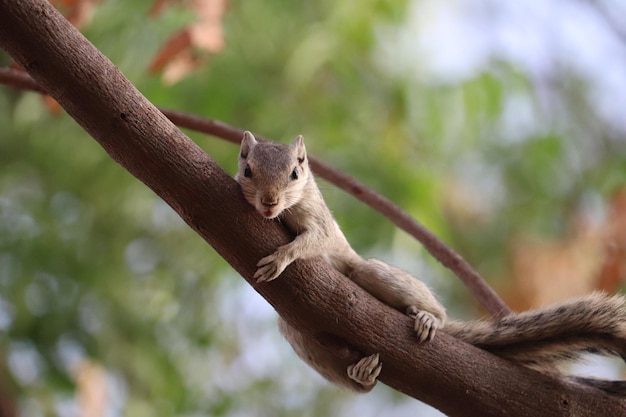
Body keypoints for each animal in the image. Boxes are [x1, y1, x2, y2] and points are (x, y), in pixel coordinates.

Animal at [233, 131, 624, 394]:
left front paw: (282, 257)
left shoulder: (321, 225)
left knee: (430, 307)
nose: (269, 202)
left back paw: (428, 317)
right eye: (247, 171)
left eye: (295, 174)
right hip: (298, 332)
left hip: (369, 271)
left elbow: (311, 241)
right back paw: (362, 375)